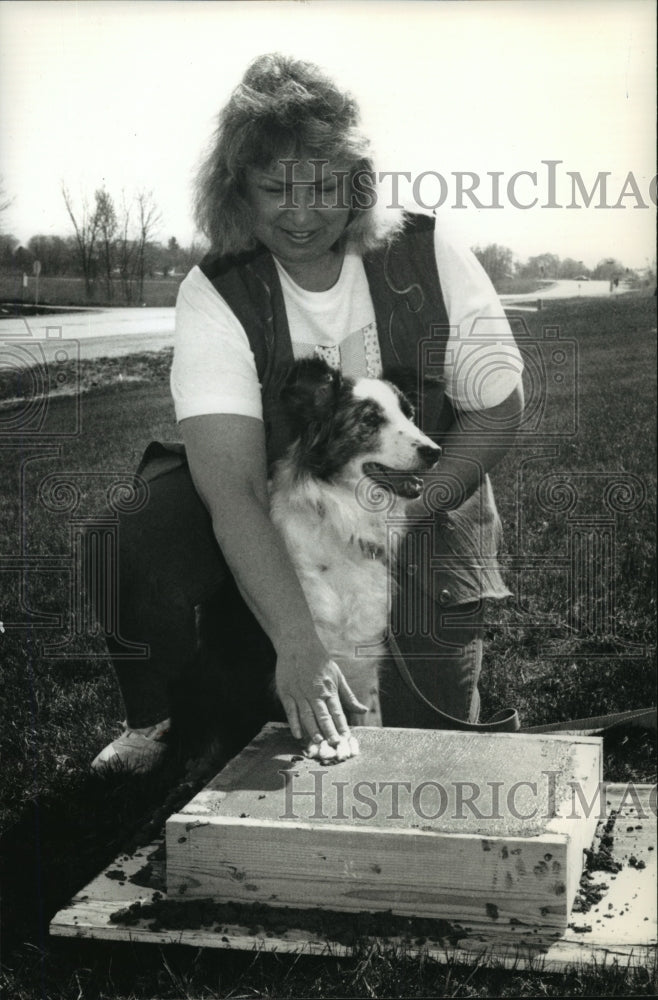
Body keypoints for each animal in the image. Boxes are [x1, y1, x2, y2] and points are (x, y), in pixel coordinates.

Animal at [270, 358, 438, 756]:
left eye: (409, 413)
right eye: (370, 420)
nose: (434, 450)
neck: (342, 523)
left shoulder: (364, 663)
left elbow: (371, 719)